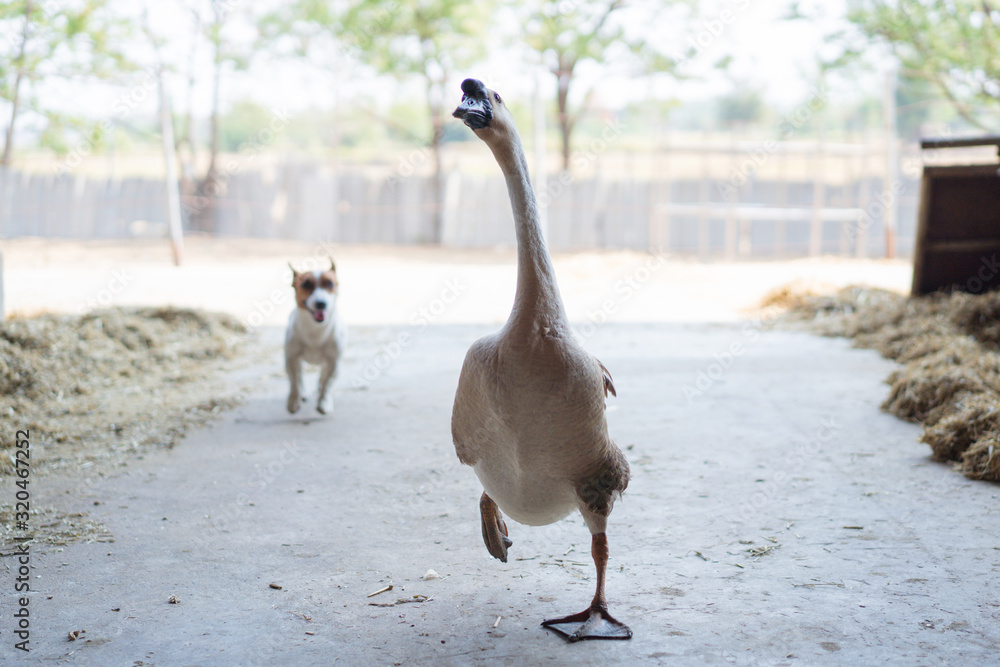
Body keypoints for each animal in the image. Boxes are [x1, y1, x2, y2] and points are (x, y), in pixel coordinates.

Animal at [284, 258, 346, 414]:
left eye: (330, 283)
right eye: (306, 284)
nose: (321, 304)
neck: (315, 332)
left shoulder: (333, 362)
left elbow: (327, 383)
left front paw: (324, 401)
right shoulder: (291, 359)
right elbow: (294, 382)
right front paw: (294, 400)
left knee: (322, 376)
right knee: (300, 376)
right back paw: (303, 393)